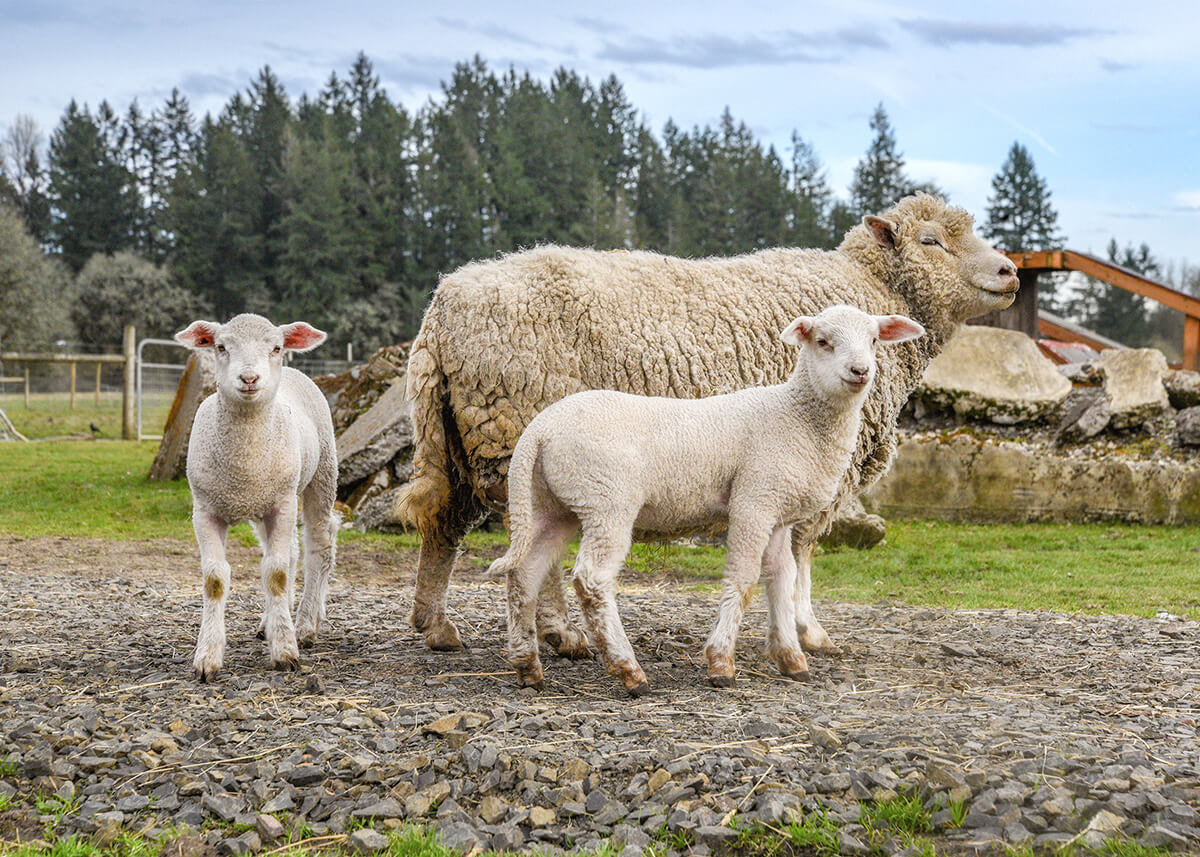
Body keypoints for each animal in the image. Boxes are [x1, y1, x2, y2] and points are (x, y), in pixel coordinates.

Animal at [175, 309, 340, 676]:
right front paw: (208, 656)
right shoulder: (205, 510)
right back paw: (272, 622)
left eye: (276, 347)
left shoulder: (282, 504)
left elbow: (275, 574)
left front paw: (286, 651)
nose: (249, 378)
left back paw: (305, 624)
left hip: (320, 474)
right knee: (289, 552)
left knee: (318, 544)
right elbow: (215, 580)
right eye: (221, 347)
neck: (244, 466)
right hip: (267, 502)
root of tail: (294, 371)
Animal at [398, 190, 1017, 652]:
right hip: (514, 427)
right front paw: (809, 629)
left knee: (445, 522)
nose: (1011, 271)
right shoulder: (817, 460)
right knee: (527, 542)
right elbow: (803, 549)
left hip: (461, 433)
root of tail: (441, 309)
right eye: (930, 240)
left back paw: (436, 625)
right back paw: (558, 633)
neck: (873, 289)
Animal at [492, 303, 921, 691]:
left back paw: (528, 667)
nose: (860, 371)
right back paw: (628, 671)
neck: (797, 417)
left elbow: (781, 578)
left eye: (873, 340)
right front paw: (721, 663)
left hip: (552, 504)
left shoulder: (778, 512)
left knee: (524, 572)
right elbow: (744, 579)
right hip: (606, 501)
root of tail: (539, 430)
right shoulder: (754, 500)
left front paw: (791, 658)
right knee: (592, 580)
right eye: (823, 341)